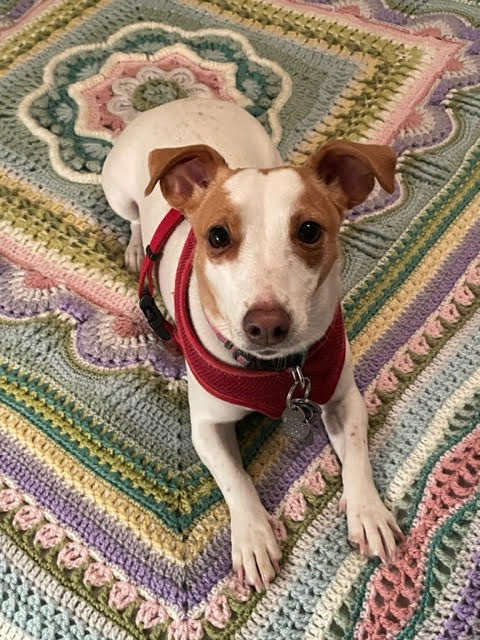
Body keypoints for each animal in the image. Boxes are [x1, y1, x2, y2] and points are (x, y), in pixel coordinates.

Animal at [103, 97, 404, 592]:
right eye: (217, 236)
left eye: (309, 230)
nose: (265, 325)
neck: (277, 371)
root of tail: (181, 99)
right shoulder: (206, 427)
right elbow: (235, 479)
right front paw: (254, 536)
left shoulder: (343, 397)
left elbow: (357, 451)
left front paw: (368, 511)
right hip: (119, 188)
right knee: (131, 218)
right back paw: (134, 246)